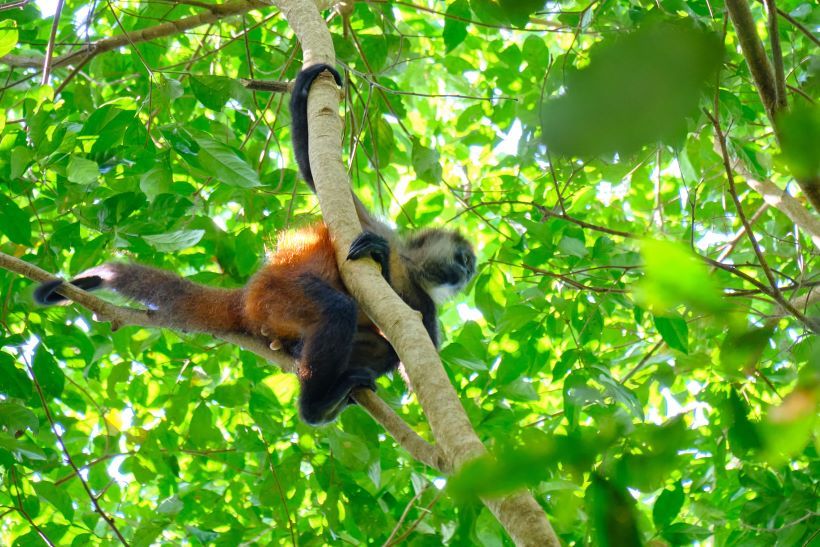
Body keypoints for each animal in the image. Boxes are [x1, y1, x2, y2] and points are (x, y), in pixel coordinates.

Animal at [35, 63, 477, 426]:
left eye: (468, 272)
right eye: (463, 261)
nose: (463, 275)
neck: (408, 266)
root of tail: (248, 295)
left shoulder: (425, 301)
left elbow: (418, 352)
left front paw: (382, 264)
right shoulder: (373, 224)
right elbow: (313, 172)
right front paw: (304, 89)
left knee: (376, 342)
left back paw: (320, 397)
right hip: (278, 294)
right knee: (337, 308)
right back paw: (316, 405)